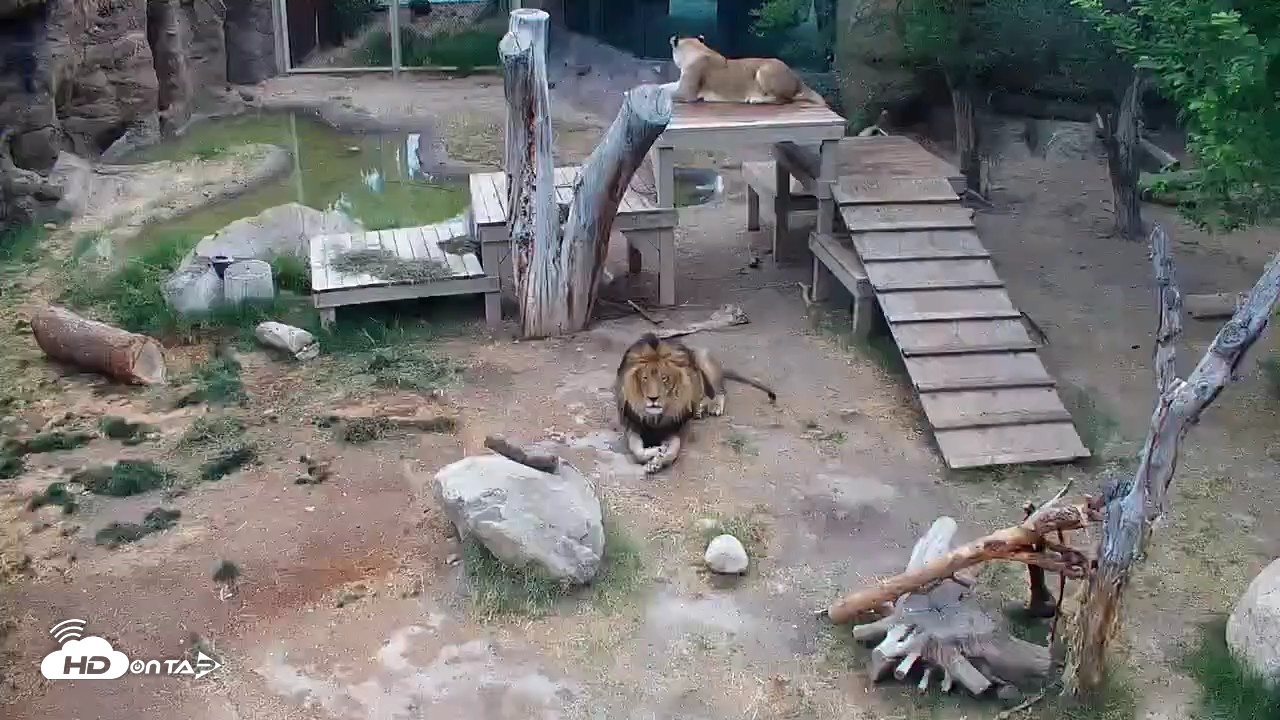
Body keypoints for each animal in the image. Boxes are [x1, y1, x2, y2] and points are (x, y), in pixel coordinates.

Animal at [615, 333, 777, 474]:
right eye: (645, 378)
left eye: (664, 378)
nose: (653, 399)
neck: (655, 418)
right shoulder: (633, 424)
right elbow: (636, 450)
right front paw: (657, 451)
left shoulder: (674, 428)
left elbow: (673, 451)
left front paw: (658, 461)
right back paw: (699, 409)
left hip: (704, 360)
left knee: (720, 391)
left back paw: (713, 407)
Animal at [662, 34, 826, 106]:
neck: (698, 50)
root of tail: (797, 78)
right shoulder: (680, 84)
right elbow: (665, 86)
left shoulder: (686, 93)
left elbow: (668, 92)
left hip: (764, 71)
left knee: (784, 100)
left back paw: (756, 99)